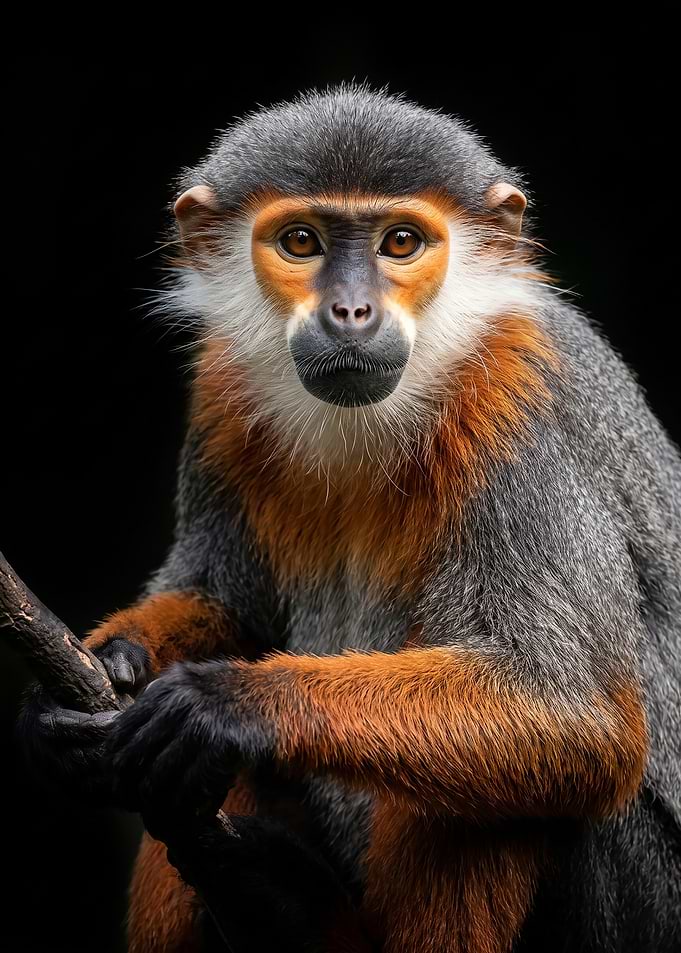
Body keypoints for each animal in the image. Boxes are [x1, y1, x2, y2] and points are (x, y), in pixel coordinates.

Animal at [19, 84, 681, 953]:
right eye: (301, 241)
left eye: (401, 242)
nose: (351, 308)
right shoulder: (221, 392)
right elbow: (227, 605)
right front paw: (112, 658)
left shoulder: (516, 401)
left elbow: (575, 713)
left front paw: (232, 704)